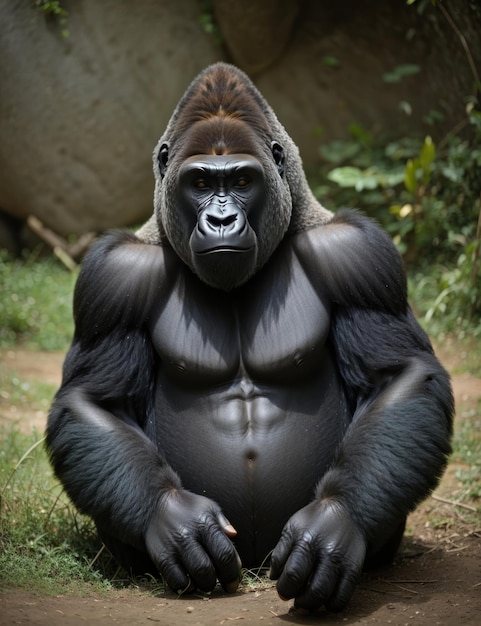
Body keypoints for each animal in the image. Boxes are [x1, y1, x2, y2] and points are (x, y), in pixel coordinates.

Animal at [47, 63, 454, 608]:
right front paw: (173, 518)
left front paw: (335, 523)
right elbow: (94, 399)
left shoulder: (360, 253)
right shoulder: (112, 276)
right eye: (199, 182)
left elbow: (399, 376)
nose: (221, 218)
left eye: (242, 180)